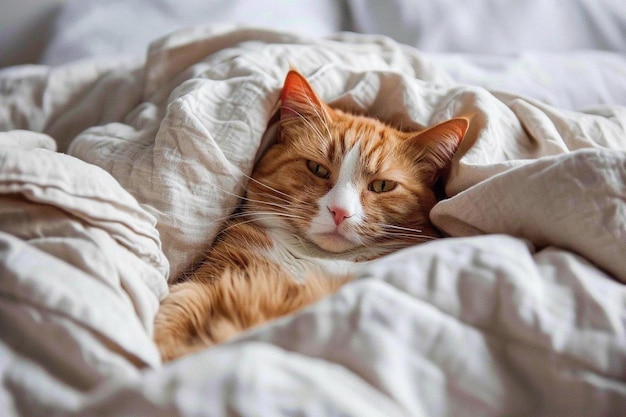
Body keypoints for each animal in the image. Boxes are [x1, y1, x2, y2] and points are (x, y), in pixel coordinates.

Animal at [154, 69, 468, 360]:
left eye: (382, 186)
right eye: (317, 169)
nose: (340, 212)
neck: (314, 263)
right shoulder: (210, 282)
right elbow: (175, 312)